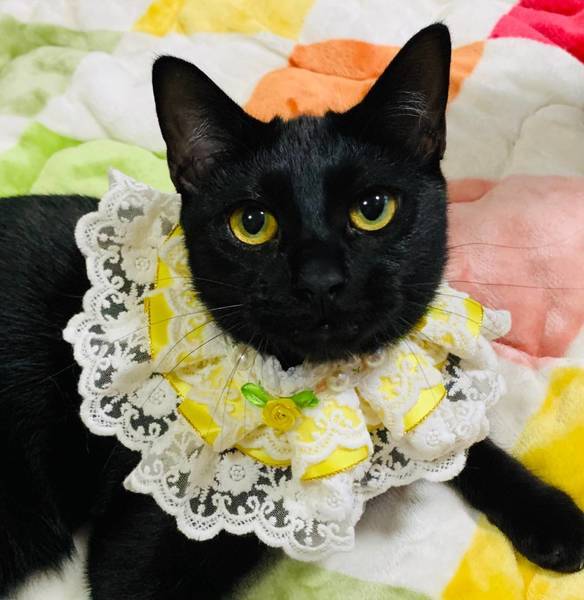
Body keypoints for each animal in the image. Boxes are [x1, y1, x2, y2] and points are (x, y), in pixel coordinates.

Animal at [0, 23, 583, 600]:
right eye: (252, 223)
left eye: (374, 209)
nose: (320, 281)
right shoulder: (137, 561)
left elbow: (453, 433)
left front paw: (549, 515)